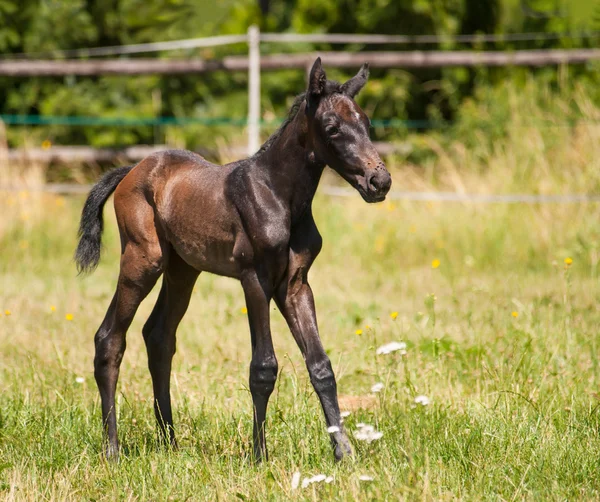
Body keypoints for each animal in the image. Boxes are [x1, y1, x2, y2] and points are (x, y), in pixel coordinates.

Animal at [75, 56, 392, 460]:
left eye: (366, 123)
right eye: (332, 128)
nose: (379, 182)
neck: (279, 195)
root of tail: (131, 171)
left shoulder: (295, 284)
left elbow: (321, 365)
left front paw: (344, 453)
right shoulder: (254, 278)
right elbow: (263, 367)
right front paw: (259, 455)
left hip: (183, 270)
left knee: (158, 336)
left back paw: (170, 443)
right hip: (142, 260)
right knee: (109, 339)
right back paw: (113, 450)